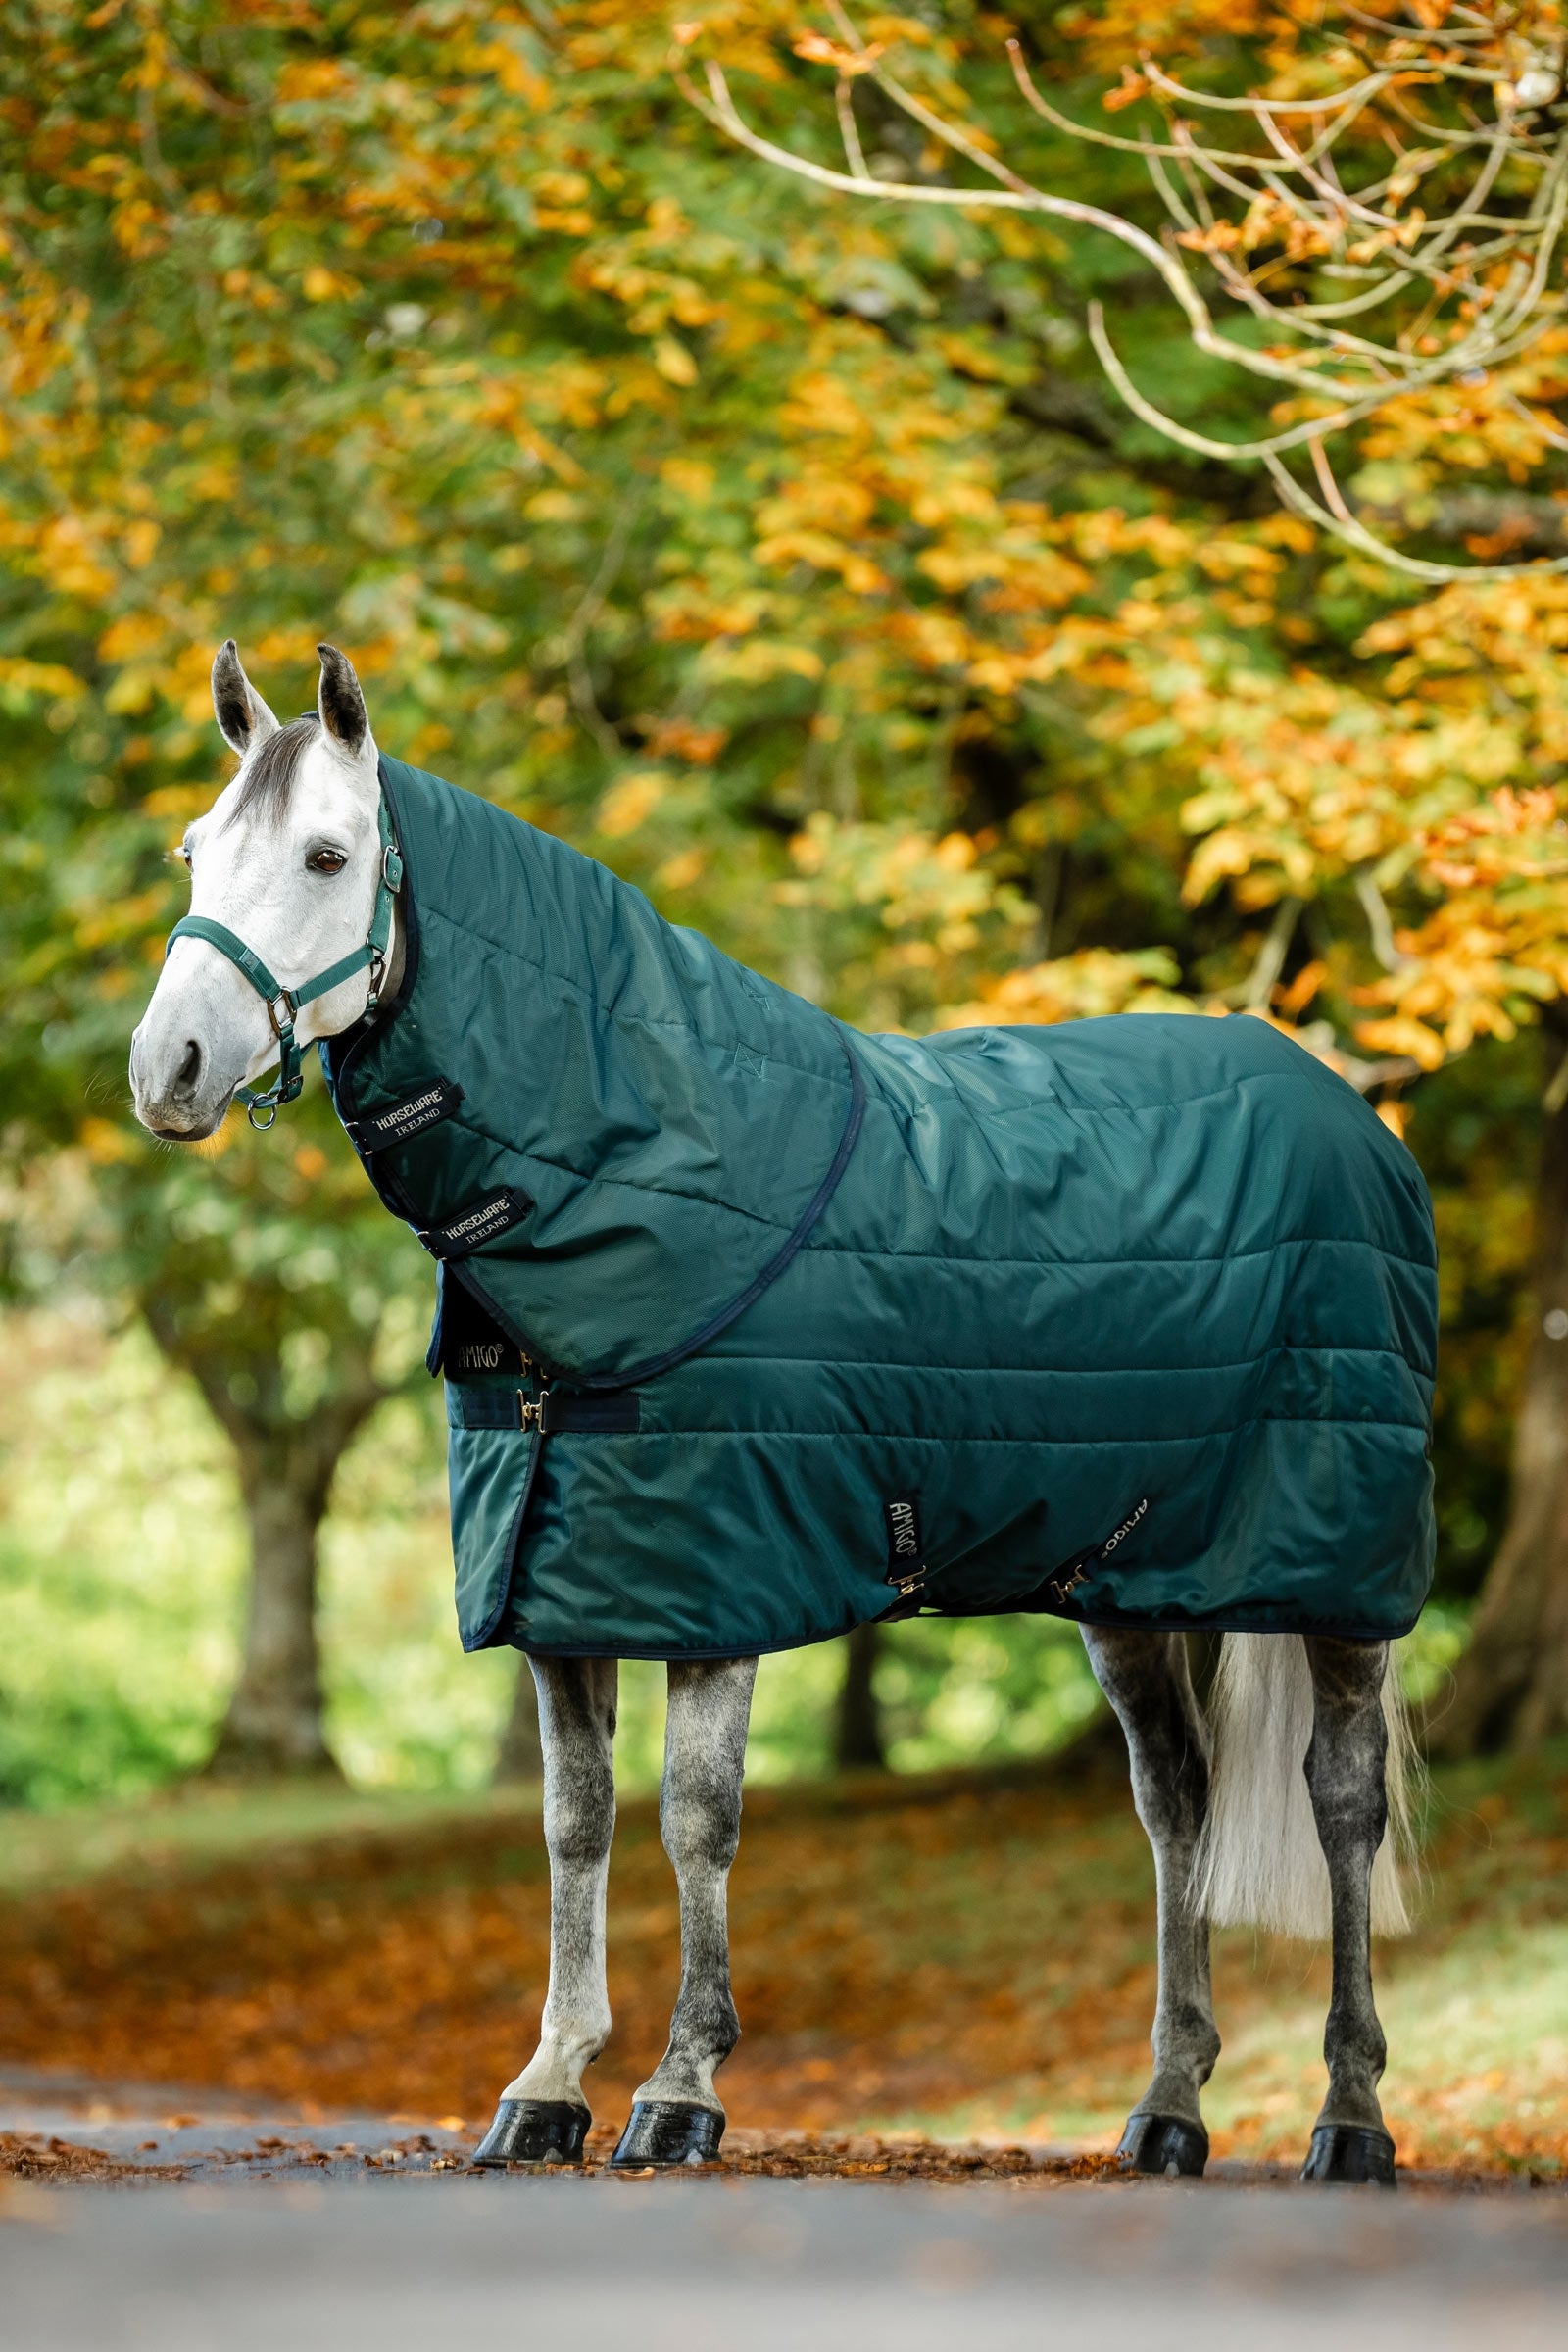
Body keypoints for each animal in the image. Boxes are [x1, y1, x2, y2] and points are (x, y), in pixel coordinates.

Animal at [130, 639, 1431, 2185]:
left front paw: (680, 2089)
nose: (167, 1069)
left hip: (1339, 1576)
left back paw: (1350, 2116)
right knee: (1176, 1801)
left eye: (328, 855)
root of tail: (1348, 1115)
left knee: (1341, 1804)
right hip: (1126, 1578)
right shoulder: (562, 1582)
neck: (635, 1161)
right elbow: (575, 1824)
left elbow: (698, 1820)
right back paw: (1168, 2109)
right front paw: (546, 2086)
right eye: (196, 851)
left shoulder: (719, 1577)